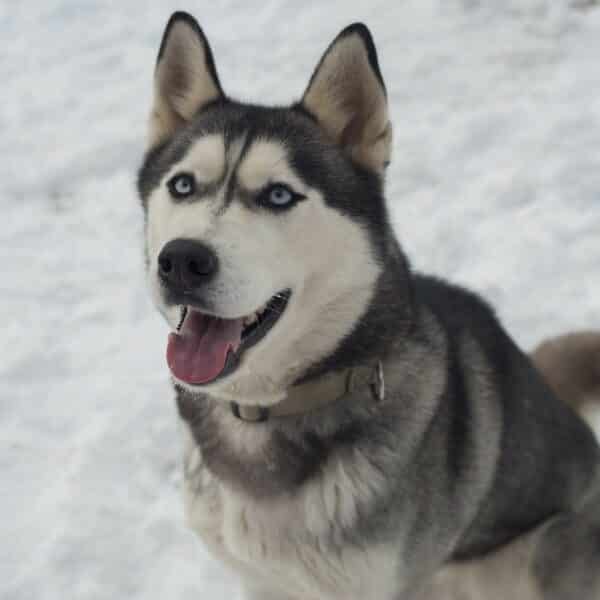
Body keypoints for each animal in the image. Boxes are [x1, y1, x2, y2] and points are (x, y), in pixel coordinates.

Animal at [138, 11, 600, 596]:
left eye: (279, 195)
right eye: (182, 185)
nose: (181, 261)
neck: (268, 413)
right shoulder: (261, 579)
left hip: (521, 556)